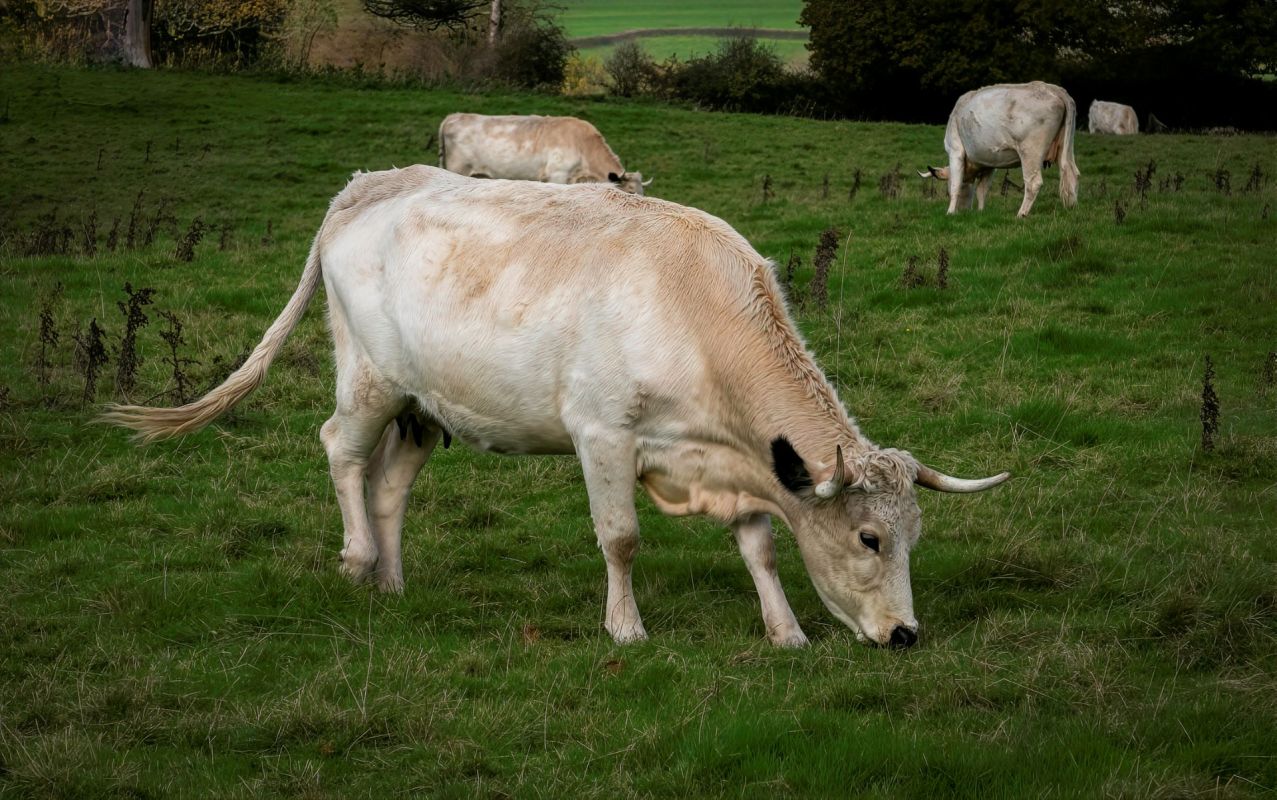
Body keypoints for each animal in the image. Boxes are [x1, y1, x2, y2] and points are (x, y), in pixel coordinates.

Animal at [104, 166, 1009, 649]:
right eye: (868, 538)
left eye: (911, 536)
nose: (905, 635)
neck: (693, 306)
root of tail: (376, 183)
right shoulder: (602, 435)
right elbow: (620, 538)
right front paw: (625, 629)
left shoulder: (734, 455)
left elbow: (758, 544)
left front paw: (783, 631)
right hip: (368, 377)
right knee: (340, 449)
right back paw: (358, 560)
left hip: (424, 406)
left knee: (389, 482)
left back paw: (393, 582)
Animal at [919, 81, 1080, 218]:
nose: (963, 210)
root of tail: (1052, 88)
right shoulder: (989, 163)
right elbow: (982, 190)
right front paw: (980, 211)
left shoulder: (955, 150)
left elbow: (955, 185)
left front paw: (950, 212)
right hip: (1065, 148)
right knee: (1071, 173)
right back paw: (1071, 208)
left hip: (1030, 151)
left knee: (1033, 182)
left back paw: (1021, 214)